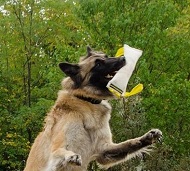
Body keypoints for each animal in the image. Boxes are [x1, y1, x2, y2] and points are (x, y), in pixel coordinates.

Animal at [23, 46, 163, 171]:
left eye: (106, 56)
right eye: (98, 64)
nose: (123, 58)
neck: (86, 101)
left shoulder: (104, 150)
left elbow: (129, 143)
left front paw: (148, 137)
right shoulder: (55, 152)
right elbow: (61, 152)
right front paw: (71, 156)